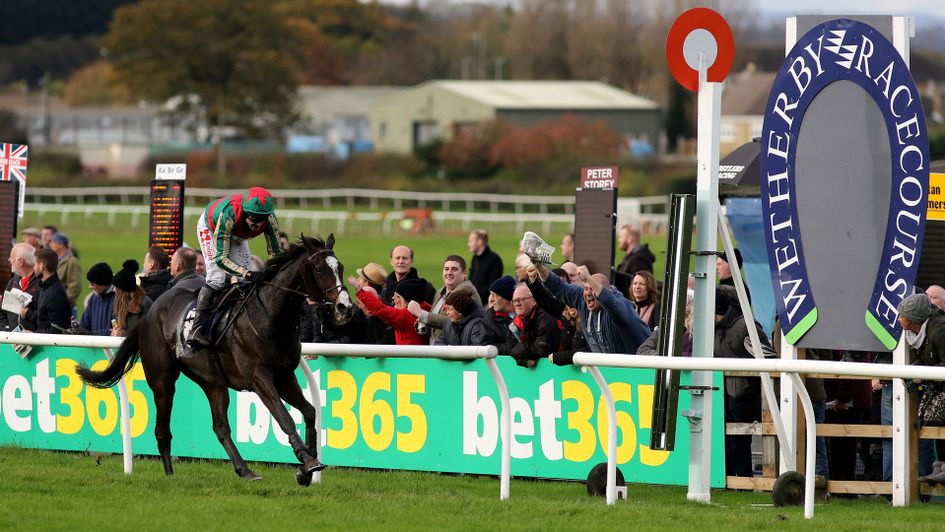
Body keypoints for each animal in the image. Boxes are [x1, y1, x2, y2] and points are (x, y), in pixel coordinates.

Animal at [76, 235, 350, 480]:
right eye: (319, 269)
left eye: (341, 267)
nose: (345, 306)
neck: (271, 316)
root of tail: (150, 313)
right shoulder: (259, 378)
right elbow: (285, 418)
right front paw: (308, 463)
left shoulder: (284, 376)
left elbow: (310, 412)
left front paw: (307, 466)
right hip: (162, 380)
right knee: (162, 429)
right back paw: (170, 475)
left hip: (212, 381)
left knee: (220, 427)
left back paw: (245, 470)